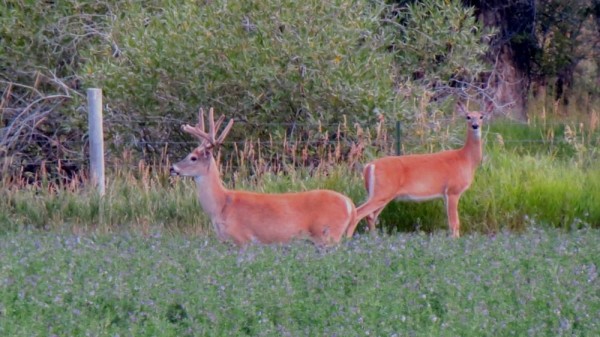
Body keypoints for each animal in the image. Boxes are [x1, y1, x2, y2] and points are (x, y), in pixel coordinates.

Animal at [170, 107, 356, 244]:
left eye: (193, 157)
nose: (172, 168)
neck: (221, 205)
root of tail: (349, 204)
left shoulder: (242, 238)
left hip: (328, 235)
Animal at [346, 101, 492, 238]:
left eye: (481, 116)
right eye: (468, 116)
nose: (475, 125)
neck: (466, 159)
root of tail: (369, 166)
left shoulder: (445, 194)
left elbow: (451, 222)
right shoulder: (453, 190)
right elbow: (455, 223)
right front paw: (455, 241)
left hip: (380, 193)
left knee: (370, 216)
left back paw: (374, 238)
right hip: (382, 191)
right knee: (359, 213)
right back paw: (347, 239)